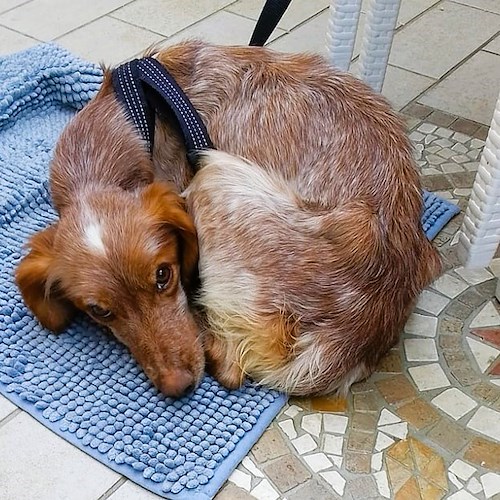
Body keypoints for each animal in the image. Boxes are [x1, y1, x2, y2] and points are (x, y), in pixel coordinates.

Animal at [14, 39, 442, 398]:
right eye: (99, 311)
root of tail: (350, 336)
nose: (178, 387)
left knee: (233, 368)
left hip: (215, 176)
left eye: (163, 275)